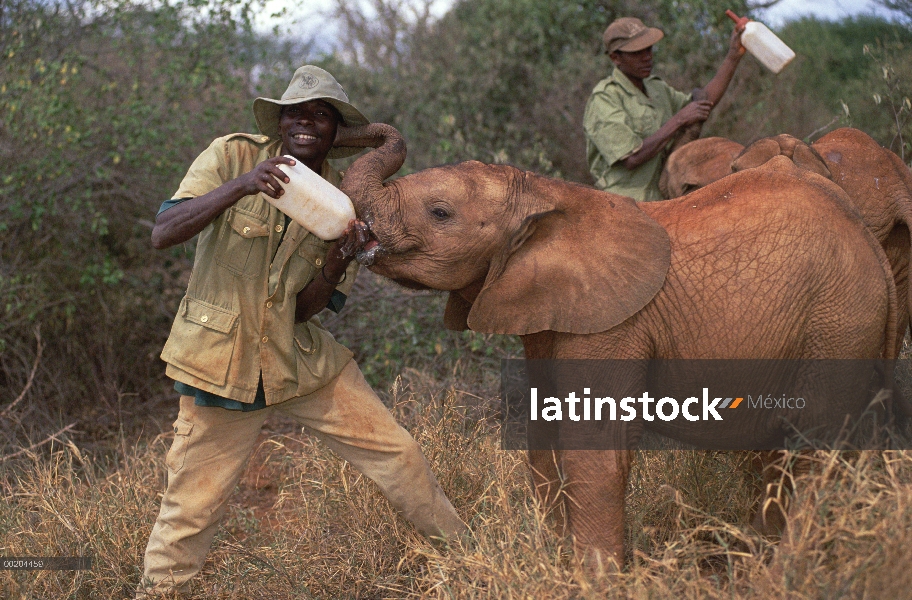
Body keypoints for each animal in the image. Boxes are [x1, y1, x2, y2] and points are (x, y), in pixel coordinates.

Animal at [334, 124, 896, 564]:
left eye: (440, 213)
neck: (545, 194)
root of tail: (871, 246)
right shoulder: (548, 317)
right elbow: (543, 437)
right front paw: (555, 560)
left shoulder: (614, 324)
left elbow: (594, 444)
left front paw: (593, 578)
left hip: (838, 322)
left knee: (812, 452)